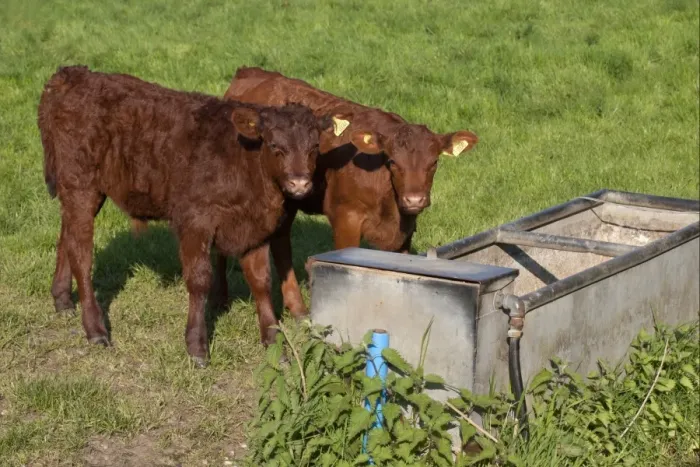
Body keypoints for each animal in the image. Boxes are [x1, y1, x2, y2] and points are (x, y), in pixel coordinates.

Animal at [37, 65, 350, 366]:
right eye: (276, 146)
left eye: (314, 147)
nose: (300, 184)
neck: (244, 162)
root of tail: (71, 75)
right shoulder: (195, 222)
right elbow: (199, 280)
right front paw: (197, 347)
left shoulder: (255, 227)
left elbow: (261, 282)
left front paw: (274, 344)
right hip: (81, 184)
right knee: (81, 253)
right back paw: (95, 329)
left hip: (82, 190)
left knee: (67, 237)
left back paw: (62, 300)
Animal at [216, 66, 479, 338]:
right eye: (393, 161)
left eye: (434, 162)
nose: (414, 199)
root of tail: (252, 72)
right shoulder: (346, 218)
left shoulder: (405, 232)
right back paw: (222, 299)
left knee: (280, 241)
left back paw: (297, 310)